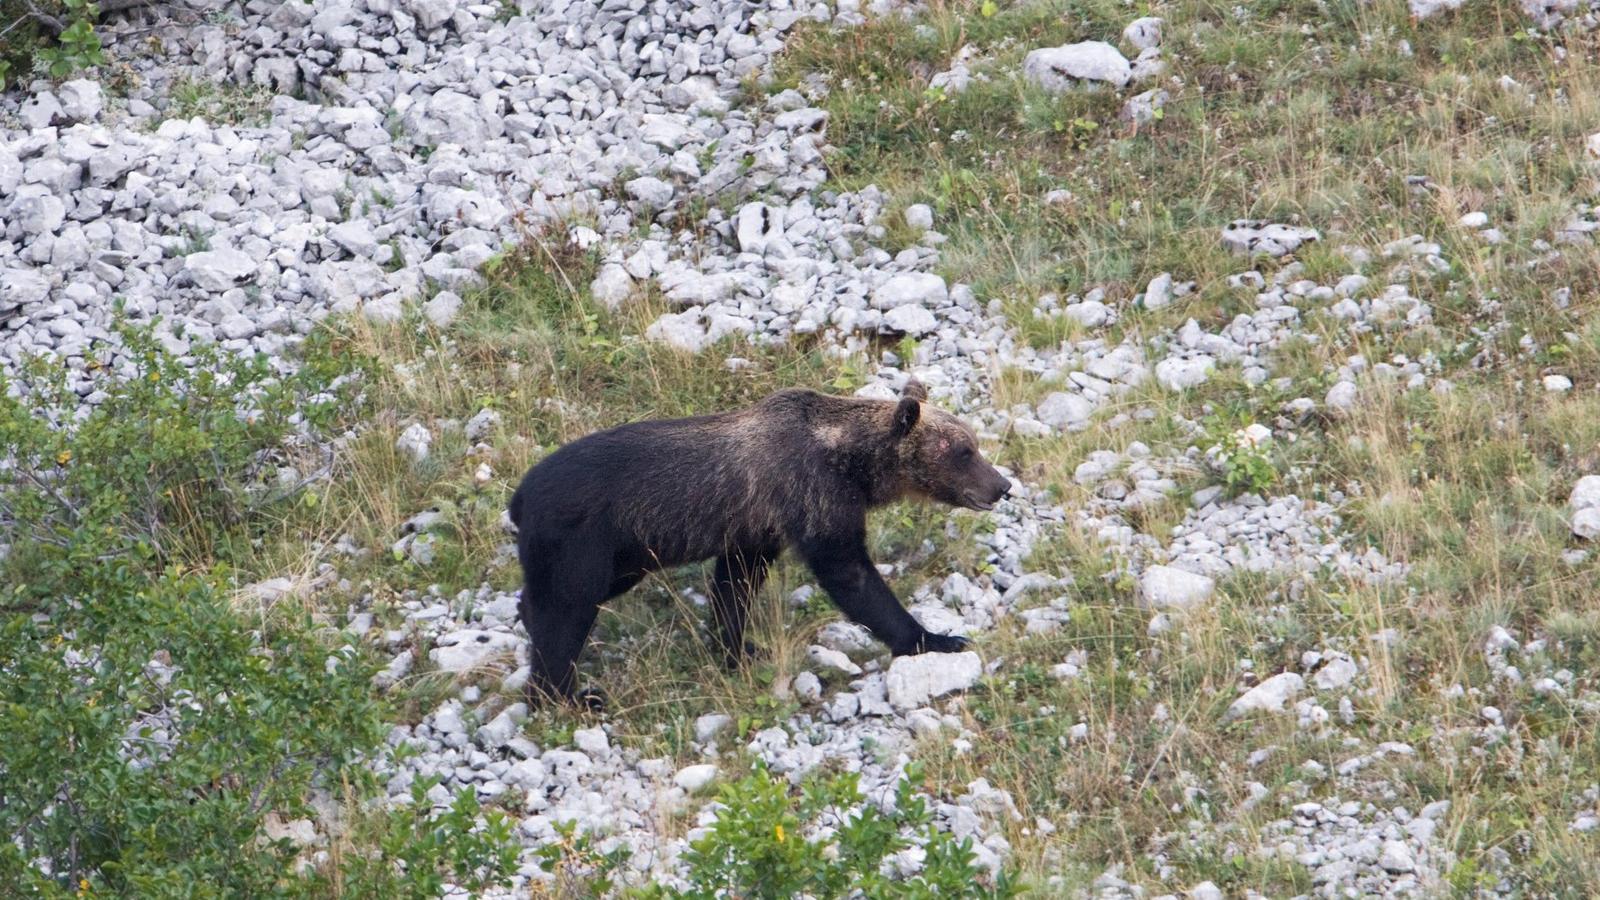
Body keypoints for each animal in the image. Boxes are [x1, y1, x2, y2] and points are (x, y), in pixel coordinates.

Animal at [512, 374, 1011, 704]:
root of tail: (518, 498)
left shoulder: (757, 527)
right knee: (568, 607)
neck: (850, 462)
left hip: (623, 554)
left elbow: (735, 585)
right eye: (963, 451)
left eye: (973, 442)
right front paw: (936, 637)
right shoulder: (813, 497)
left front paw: (741, 649)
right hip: (582, 540)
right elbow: (849, 573)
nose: (1001, 485)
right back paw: (568, 695)